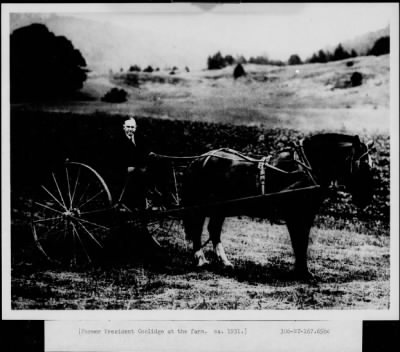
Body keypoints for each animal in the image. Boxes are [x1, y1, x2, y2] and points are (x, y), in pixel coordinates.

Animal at [182, 132, 376, 278]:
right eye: (364, 165)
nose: (366, 199)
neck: (305, 167)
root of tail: (200, 159)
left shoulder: (306, 215)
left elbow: (302, 242)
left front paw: (303, 271)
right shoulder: (295, 215)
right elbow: (299, 242)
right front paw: (303, 273)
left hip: (221, 207)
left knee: (213, 229)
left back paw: (225, 262)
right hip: (201, 205)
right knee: (197, 228)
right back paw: (200, 259)